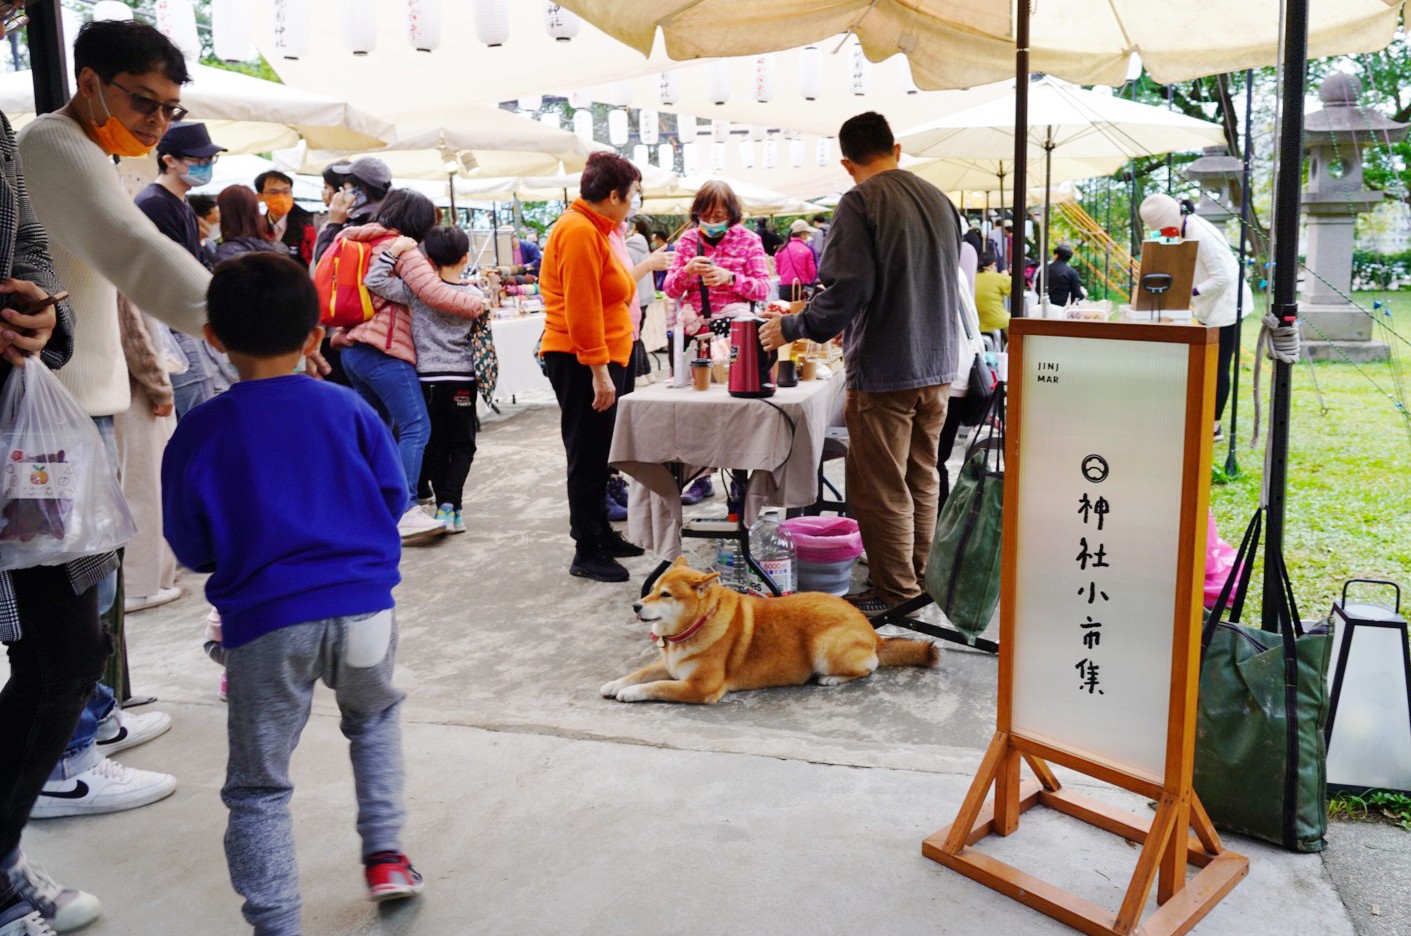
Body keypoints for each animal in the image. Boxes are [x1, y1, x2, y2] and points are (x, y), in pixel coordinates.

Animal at [595, 556, 936, 703]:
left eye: (666, 595)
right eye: (652, 589)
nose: (636, 606)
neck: (694, 626)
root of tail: (870, 628)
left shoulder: (700, 688)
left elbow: (658, 686)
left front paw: (630, 692)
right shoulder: (668, 662)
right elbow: (641, 672)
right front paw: (614, 683)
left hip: (824, 646)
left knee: (869, 667)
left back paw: (831, 679)